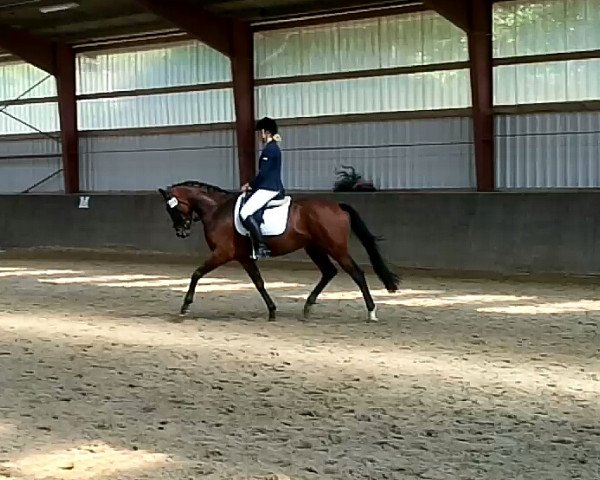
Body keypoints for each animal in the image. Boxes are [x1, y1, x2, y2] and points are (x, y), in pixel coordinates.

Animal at [158, 181, 398, 322]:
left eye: (173, 209)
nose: (181, 231)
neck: (217, 210)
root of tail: (338, 206)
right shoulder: (243, 257)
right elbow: (259, 282)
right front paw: (272, 310)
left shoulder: (222, 253)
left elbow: (196, 273)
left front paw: (185, 307)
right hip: (314, 248)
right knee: (329, 272)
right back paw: (308, 307)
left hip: (335, 248)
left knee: (356, 273)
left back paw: (371, 312)